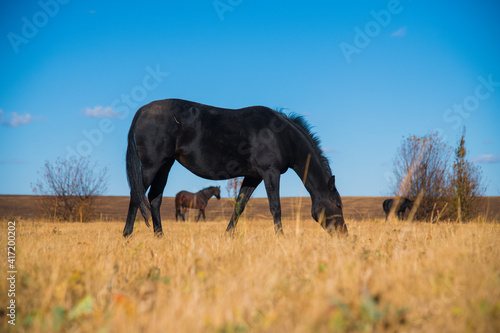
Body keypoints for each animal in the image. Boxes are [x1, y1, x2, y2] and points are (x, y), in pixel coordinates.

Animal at [124, 98, 348, 236]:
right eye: (338, 205)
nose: (344, 235)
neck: (283, 136)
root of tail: (142, 111)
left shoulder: (253, 177)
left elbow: (239, 206)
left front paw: (228, 237)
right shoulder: (271, 172)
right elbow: (275, 208)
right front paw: (281, 238)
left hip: (165, 166)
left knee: (154, 199)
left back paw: (160, 237)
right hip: (151, 166)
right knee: (136, 195)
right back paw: (127, 235)